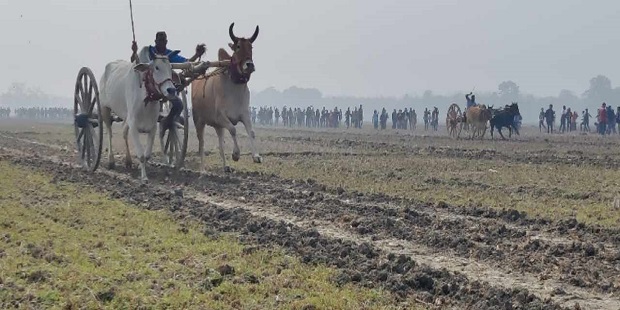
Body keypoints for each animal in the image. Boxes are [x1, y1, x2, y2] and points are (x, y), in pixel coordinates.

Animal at [99, 50, 182, 182]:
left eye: (170, 68)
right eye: (156, 67)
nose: (171, 90)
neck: (146, 101)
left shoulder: (152, 127)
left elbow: (147, 155)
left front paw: (141, 169)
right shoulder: (133, 126)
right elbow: (141, 154)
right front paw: (144, 177)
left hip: (125, 117)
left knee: (124, 133)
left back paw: (128, 161)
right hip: (105, 109)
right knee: (110, 132)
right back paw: (111, 161)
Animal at [194, 23, 262, 173]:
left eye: (251, 47)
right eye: (238, 46)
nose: (249, 65)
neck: (234, 87)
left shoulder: (244, 114)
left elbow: (251, 132)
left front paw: (256, 156)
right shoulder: (221, 117)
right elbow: (233, 129)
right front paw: (236, 154)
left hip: (218, 127)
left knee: (221, 145)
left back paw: (226, 167)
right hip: (199, 122)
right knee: (201, 144)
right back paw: (202, 169)